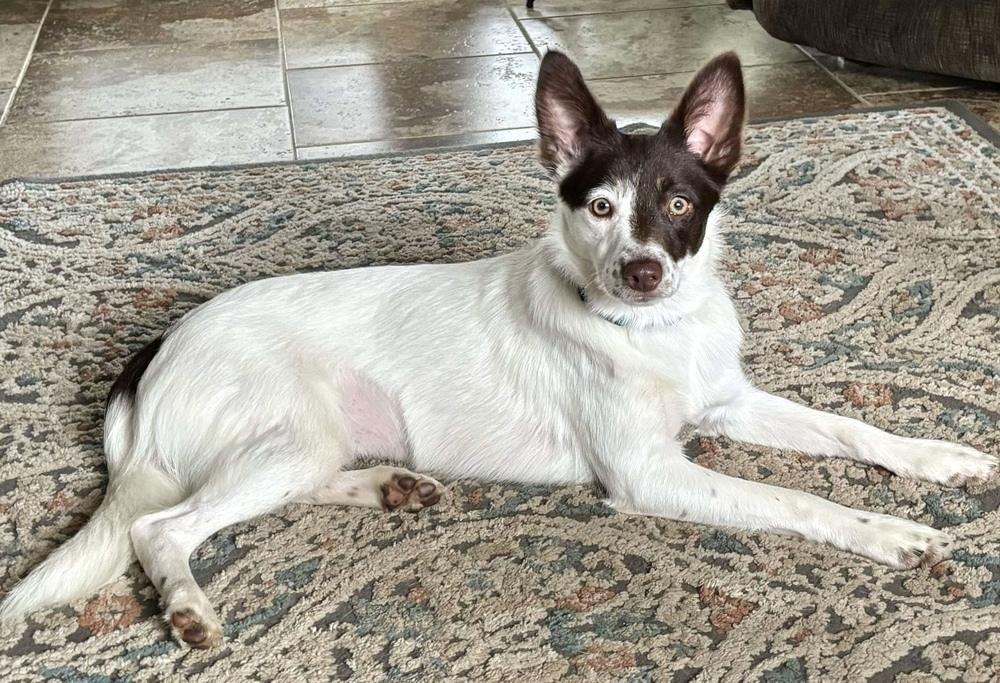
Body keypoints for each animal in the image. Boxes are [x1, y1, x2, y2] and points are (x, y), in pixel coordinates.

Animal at [3, 50, 996, 648]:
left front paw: (939, 457)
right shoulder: (648, 472)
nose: (641, 271)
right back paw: (188, 606)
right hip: (283, 434)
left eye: (679, 202)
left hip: (307, 441)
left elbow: (853, 431)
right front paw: (890, 532)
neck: (654, 334)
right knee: (160, 525)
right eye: (599, 206)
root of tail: (154, 351)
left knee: (249, 493)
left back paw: (389, 485)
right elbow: (794, 499)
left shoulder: (730, 401)